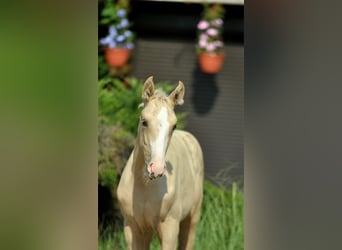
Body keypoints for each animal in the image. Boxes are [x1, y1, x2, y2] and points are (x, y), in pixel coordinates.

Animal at [117, 76, 203, 250]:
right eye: (144, 121)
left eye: (174, 125)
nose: (156, 168)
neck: (144, 186)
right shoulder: (132, 228)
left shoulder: (170, 229)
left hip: (191, 219)